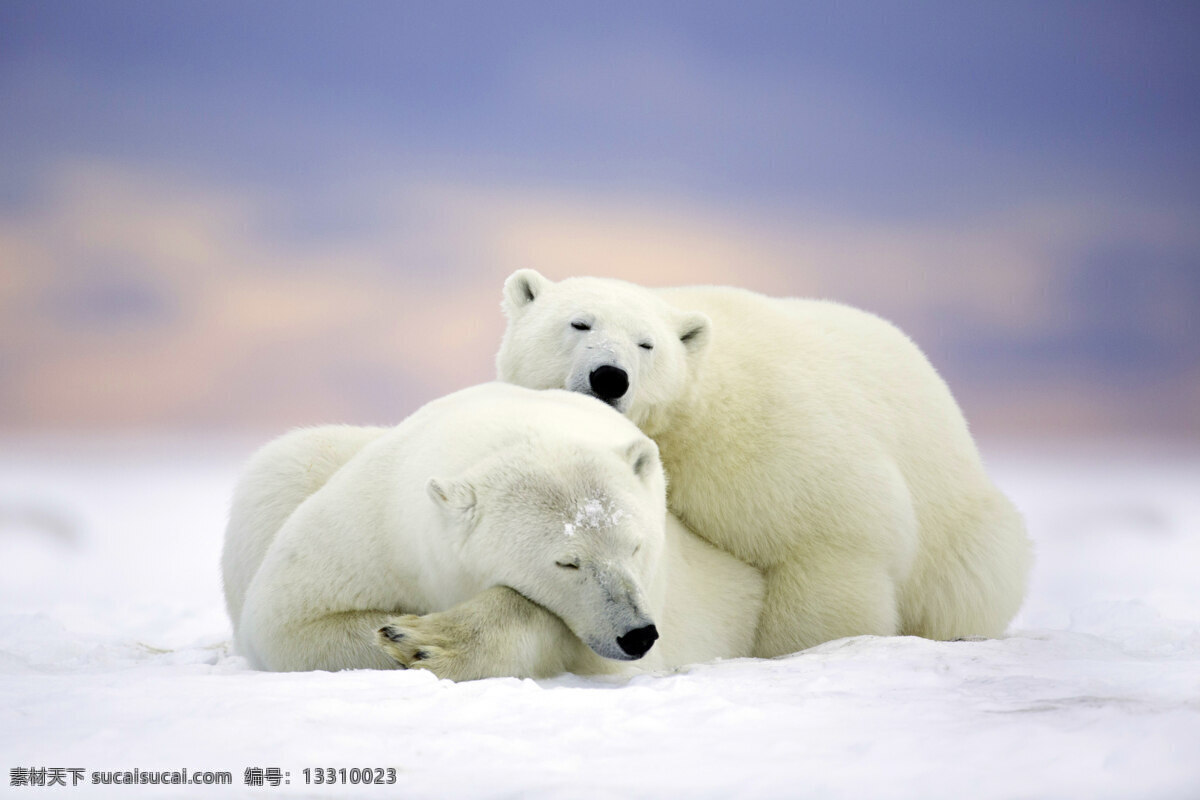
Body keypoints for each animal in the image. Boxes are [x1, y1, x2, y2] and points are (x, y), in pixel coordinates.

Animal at [222, 383, 763, 681]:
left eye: (635, 546)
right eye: (568, 561)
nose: (637, 634)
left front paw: (426, 640)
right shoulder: (375, 526)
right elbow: (288, 621)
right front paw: (403, 633)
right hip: (289, 470)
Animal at [496, 272, 1032, 662]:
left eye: (647, 344)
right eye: (579, 324)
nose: (610, 376)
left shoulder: (771, 441)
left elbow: (828, 540)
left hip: (962, 532)